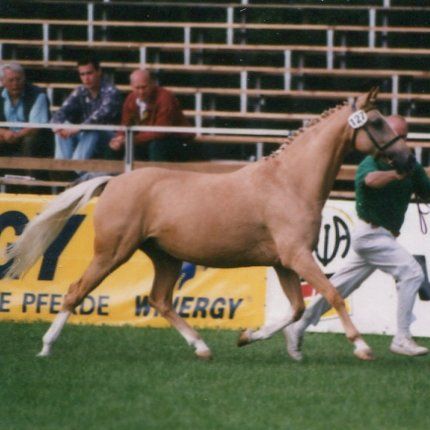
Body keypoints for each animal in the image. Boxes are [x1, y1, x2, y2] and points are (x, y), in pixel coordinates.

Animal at [3, 88, 415, 361]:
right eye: (377, 122)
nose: (408, 159)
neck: (289, 182)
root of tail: (114, 182)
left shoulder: (284, 263)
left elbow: (297, 308)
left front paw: (249, 337)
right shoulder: (297, 257)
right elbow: (331, 295)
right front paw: (361, 346)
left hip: (165, 258)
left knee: (159, 299)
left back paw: (201, 347)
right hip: (112, 253)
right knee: (76, 291)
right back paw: (46, 347)